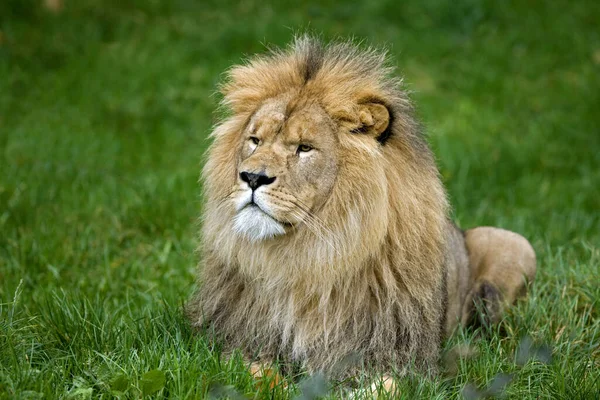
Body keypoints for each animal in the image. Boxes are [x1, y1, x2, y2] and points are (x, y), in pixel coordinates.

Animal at [186, 36, 536, 386]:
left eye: (304, 148)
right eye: (255, 140)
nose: (252, 177)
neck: (301, 258)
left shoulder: (399, 357)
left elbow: (383, 385)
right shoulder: (238, 344)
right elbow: (252, 374)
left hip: (515, 245)